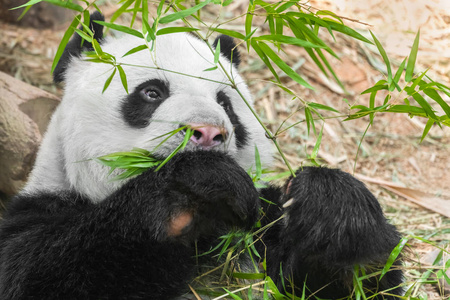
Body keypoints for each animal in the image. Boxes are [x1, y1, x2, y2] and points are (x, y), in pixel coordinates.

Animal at [0, 12, 402, 300]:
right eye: (151, 92)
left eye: (225, 103)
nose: (208, 132)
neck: (207, 233)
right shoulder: (45, 208)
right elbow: (40, 273)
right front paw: (195, 185)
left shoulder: (258, 231)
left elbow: (350, 284)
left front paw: (332, 209)